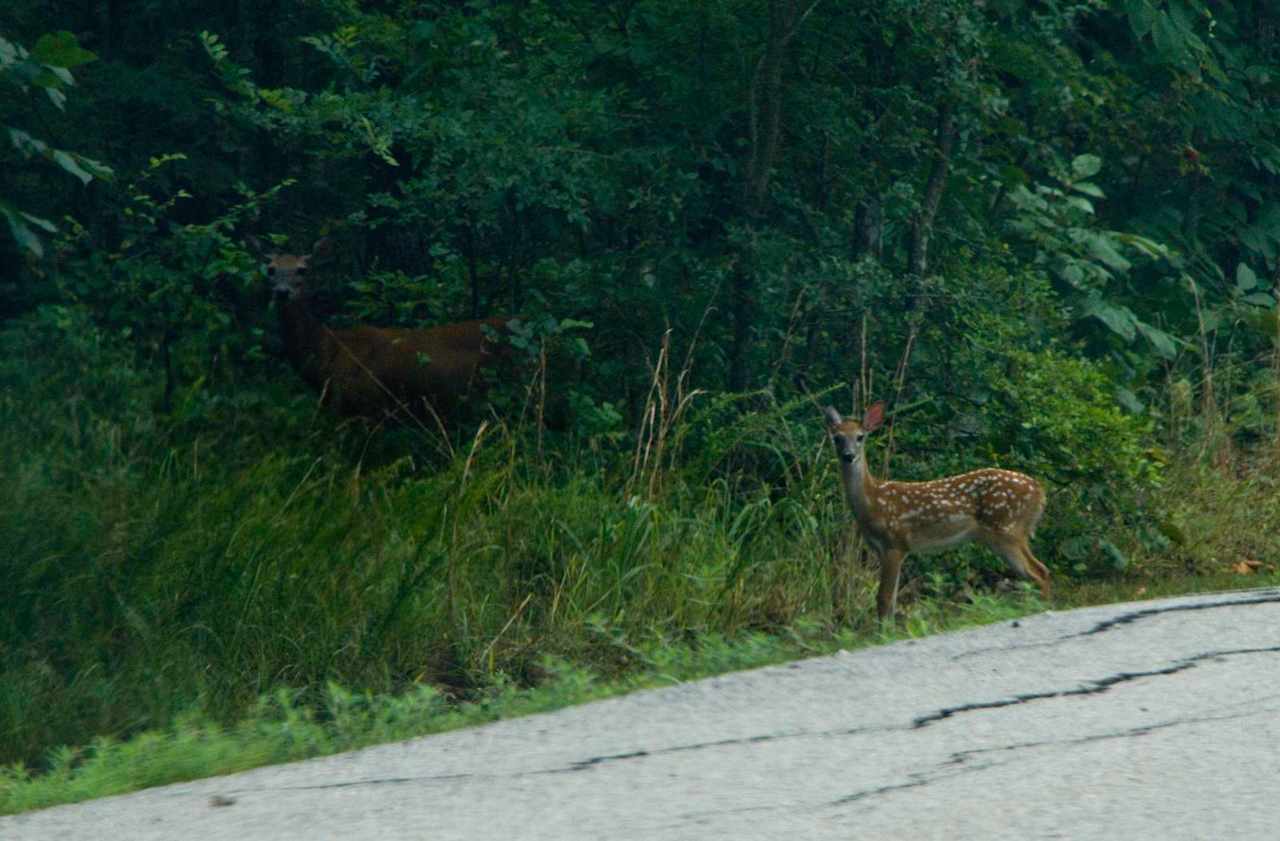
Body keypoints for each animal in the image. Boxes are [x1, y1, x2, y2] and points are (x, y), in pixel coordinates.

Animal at [824, 404, 1054, 619]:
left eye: (860, 437)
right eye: (837, 438)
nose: (848, 455)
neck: (873, 502)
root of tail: (1039, 491)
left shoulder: (895, 543)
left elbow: (884, 598)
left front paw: (883, 632)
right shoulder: (883, 550)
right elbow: (892, 600)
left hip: (1008, 529)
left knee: (1039, 571)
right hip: (1004, 535)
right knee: (1039, 570)